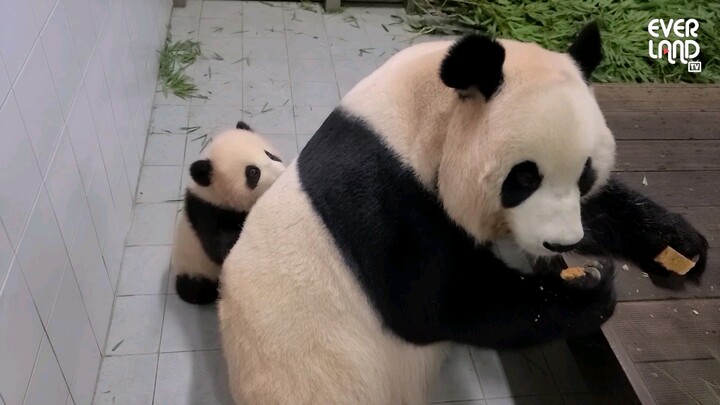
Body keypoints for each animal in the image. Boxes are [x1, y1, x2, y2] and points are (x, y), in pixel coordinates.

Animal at [215, 23, 708, 402]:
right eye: (523, 179)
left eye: (585, 174)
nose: (561, 243)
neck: (423, 115)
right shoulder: (385, 196)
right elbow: (440, 305)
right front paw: (590, 289)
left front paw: (679, 245)